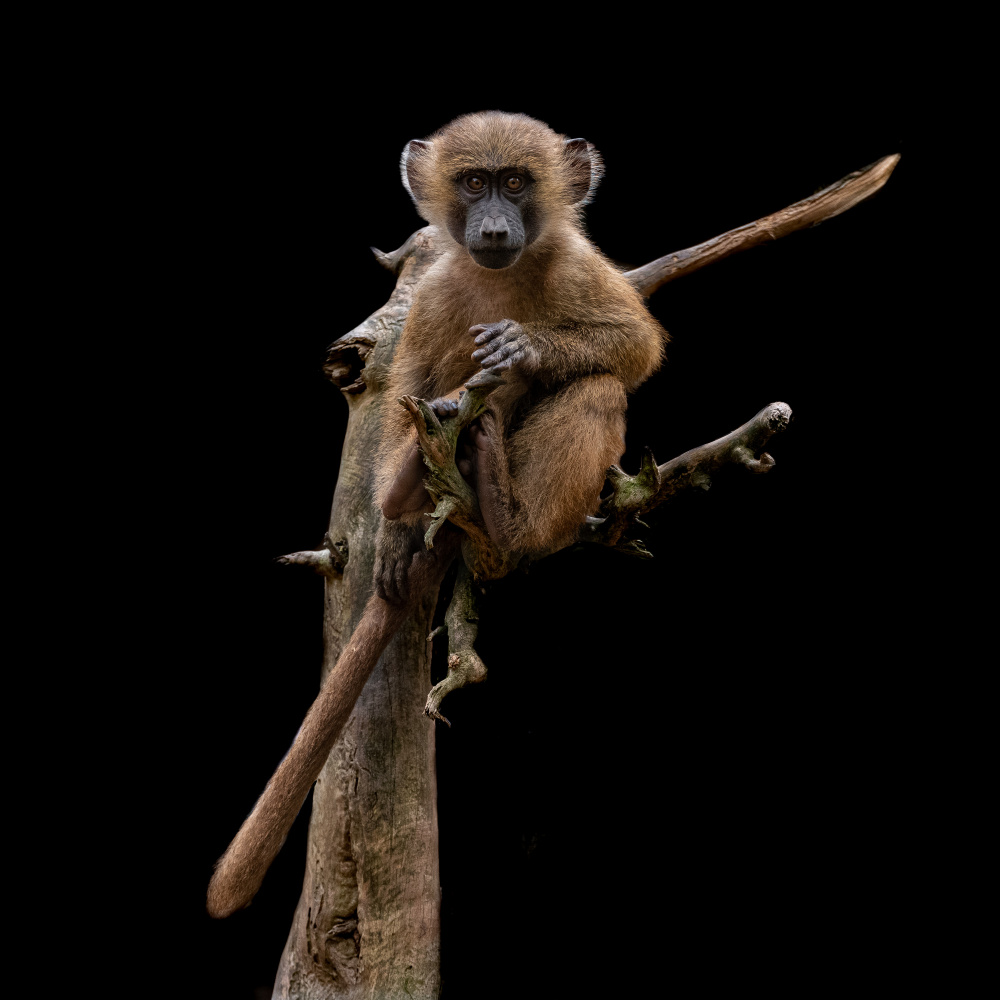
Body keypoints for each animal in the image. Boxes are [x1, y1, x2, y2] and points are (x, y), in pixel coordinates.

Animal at [207, 112, 668, 919]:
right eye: (474, 183)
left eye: (515, 181)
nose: (494, 226)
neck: (501, 277)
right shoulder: (435, 296)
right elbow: (407, 389)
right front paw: (392, 528)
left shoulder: (581, 267)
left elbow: (633, 349)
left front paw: (525, 347)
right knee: (438, 404)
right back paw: (408, 494)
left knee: (597, 388)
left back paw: (505, 518)